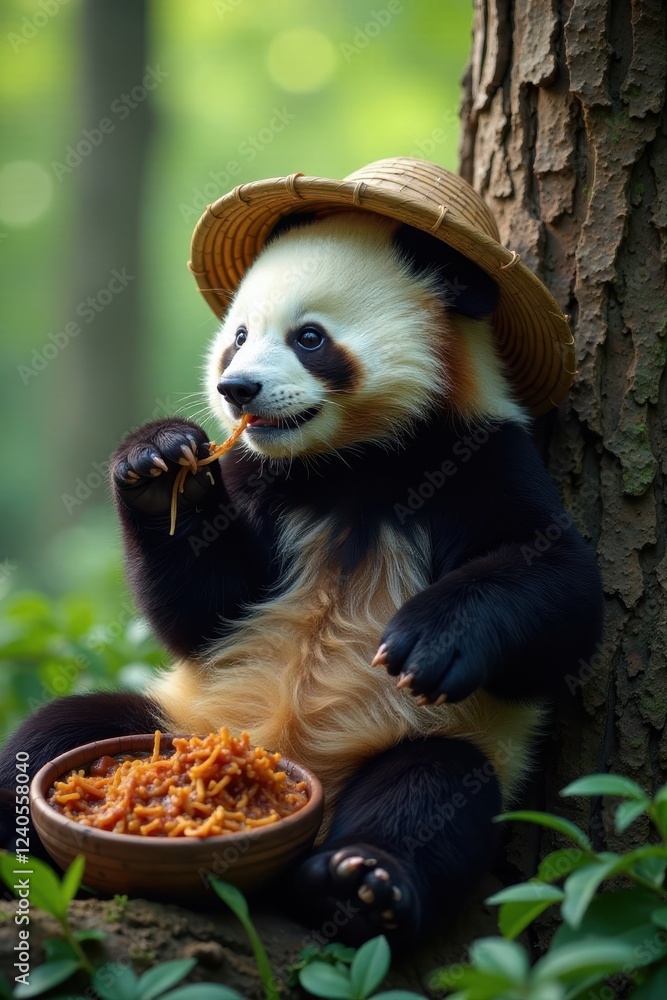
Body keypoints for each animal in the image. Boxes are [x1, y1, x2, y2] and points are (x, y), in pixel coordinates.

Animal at [0, 177, 603, 945]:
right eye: (237, 337)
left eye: (309, 337)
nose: (237, 390)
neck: (350, 461)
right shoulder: (259, 478)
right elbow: (207, 610)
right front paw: (158, 462)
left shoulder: (480, 450)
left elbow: (560, 592)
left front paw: (427, 640)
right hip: (183, 721)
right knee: (60, 730)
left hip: (431, 737)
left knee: (432, 790)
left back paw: (360, 882)